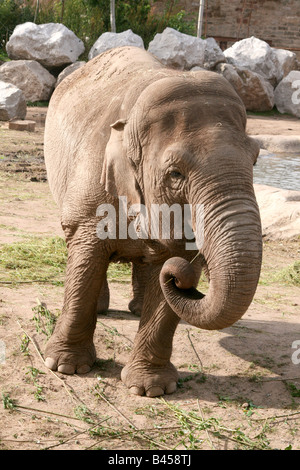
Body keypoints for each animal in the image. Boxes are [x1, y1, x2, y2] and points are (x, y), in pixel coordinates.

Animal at [43, 46, 262, 396]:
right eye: (175, 174)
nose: (183, 279)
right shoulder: (92, 180)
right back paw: (104, 310)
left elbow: (169, 263)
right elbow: (86, 255)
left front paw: (150, 389)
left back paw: (136, 307)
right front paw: (66, 367)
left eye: (255, 159)